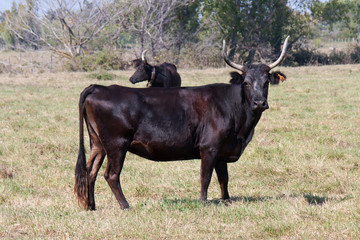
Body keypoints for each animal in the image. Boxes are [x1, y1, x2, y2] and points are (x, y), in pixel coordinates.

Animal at [75, 36, 290, 210]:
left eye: (266, 82)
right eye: (246, 82)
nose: (259, 103)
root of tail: (100, 87)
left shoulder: (222, 150)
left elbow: (224, 178)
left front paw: (227, 200)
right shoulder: (209, 148)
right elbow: (206, 176)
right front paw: (203, 202)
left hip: (98, 144)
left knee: (90, 171)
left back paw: (91, 206)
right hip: (117, 144)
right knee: (111, 175)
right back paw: (125, 205)